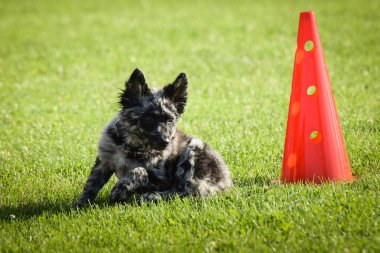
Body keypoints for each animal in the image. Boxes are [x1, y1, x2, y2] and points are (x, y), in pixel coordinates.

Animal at [74, 68, 232, 207]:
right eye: (149, 119)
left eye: (170, 120)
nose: (165, 142)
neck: (133, 147)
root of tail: (226, 183)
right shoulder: (104, 162)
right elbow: (91, 184)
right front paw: (80, 204)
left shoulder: (162, 180)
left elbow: (139, 171)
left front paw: (121, 189)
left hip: (193, 150)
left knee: (184, 192)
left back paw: (151, 196)